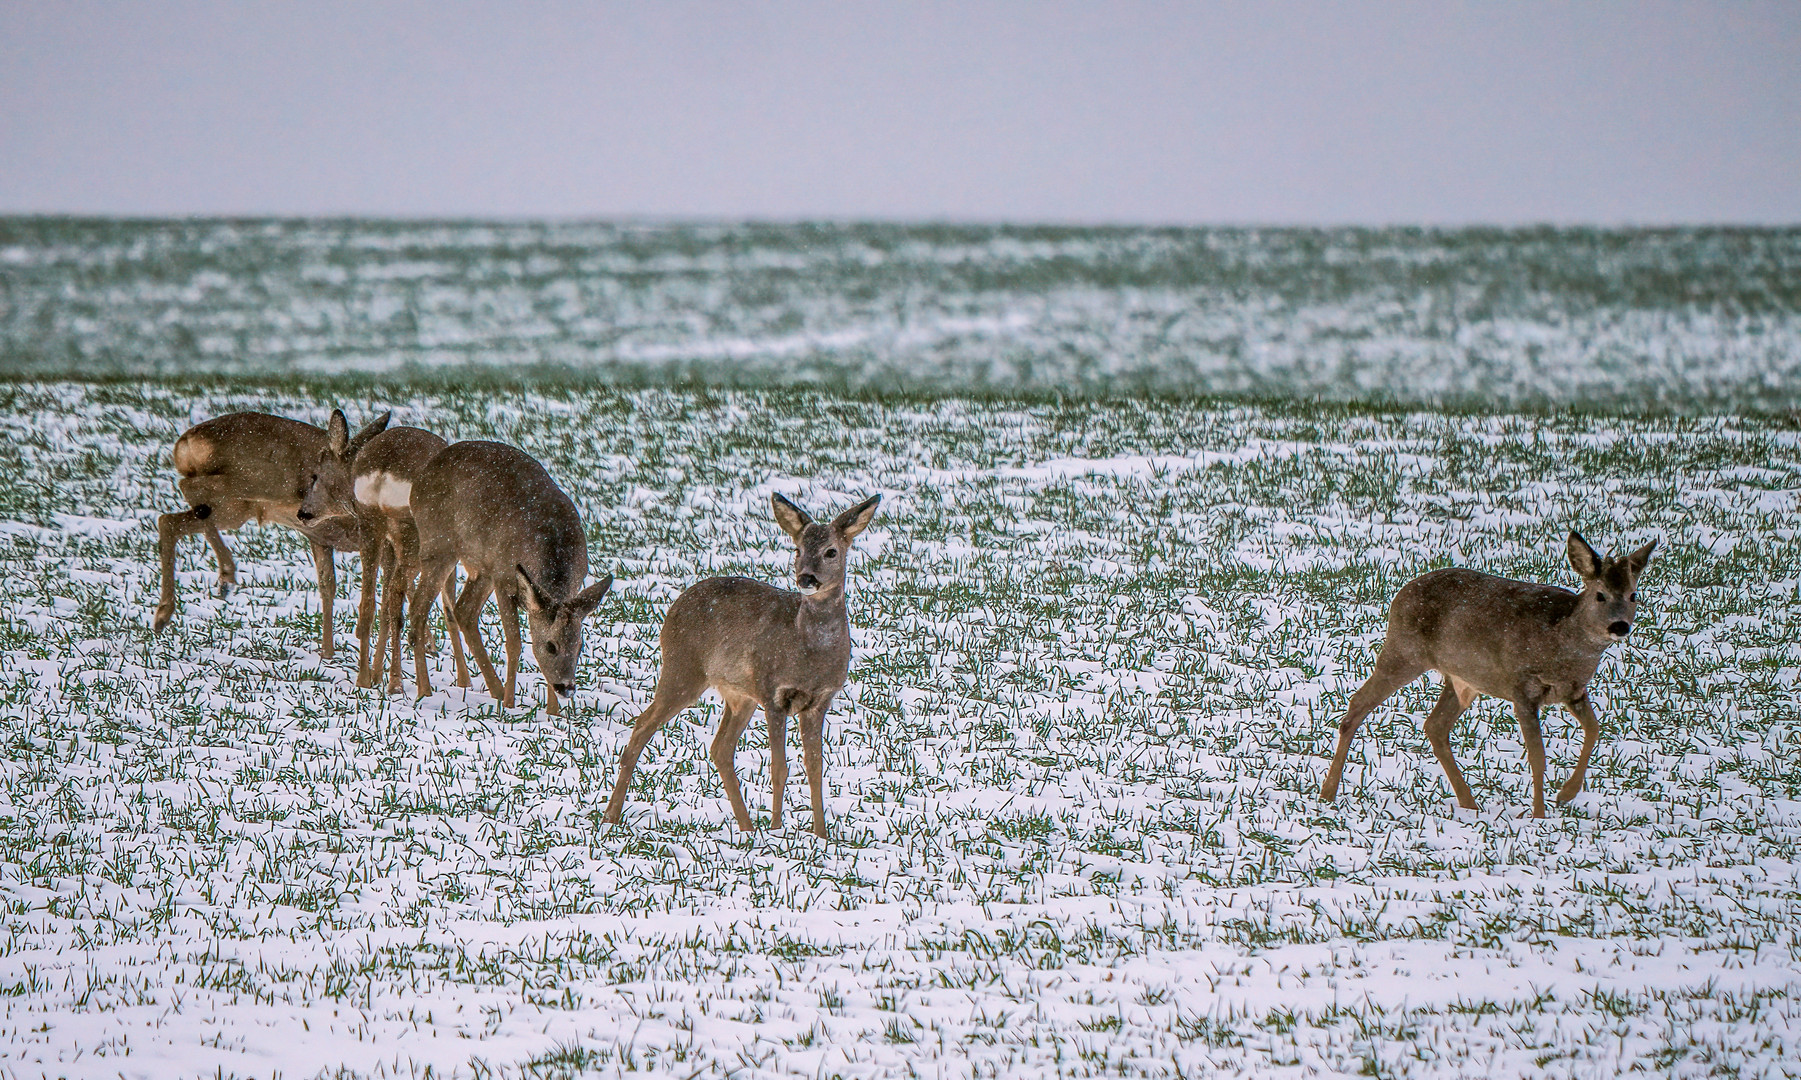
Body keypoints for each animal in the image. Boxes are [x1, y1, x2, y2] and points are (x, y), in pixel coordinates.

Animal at [157, 406, 390, 655]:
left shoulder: (321, 539)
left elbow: (328, 587)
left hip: (235, 508)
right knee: (188, 490)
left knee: (170, 521)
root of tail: (186, 442)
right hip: (253, 484)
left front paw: (327, 653)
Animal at [403, 439, 612, 716]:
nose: (566, 688)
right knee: (419, 608)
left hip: (482, 565)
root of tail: (420, 479)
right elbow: (514, 644)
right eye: (551, 646)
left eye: (580, 646)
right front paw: (512, 705)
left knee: (463, 611)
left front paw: (552, 713)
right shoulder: (504, 578)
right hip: (439, 544)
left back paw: (496, 691)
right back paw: (425, 691)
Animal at [605, 489, 878, 835]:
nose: (806, 578)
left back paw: (747, 827)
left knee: (720, 748)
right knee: (643, 725)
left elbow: (815, 768)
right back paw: (610, 816)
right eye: (797, 549)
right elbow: (779, 768)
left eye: (831, 551)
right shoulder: (774, 692)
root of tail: (672, 609)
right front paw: (776, 830)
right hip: (683, 669)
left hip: (739, 694)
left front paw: (822, 835)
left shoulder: (820, 700)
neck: (810, 654)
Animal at [1318, 532, 1649, 817]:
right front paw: (1539, 816)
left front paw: (1566, 793)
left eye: (1633, 595)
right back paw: (1328, 792)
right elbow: (1538, 757)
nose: (1620, 626)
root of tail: (1400, 594)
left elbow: (1594, 730)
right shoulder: (1522, 689)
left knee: (1435, 725)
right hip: (1404, 651)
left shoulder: (1574, 690)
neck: (1564, 646)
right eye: (1600, 595)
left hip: (1461, 678)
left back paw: (1469, 803)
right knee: (1358, 704)